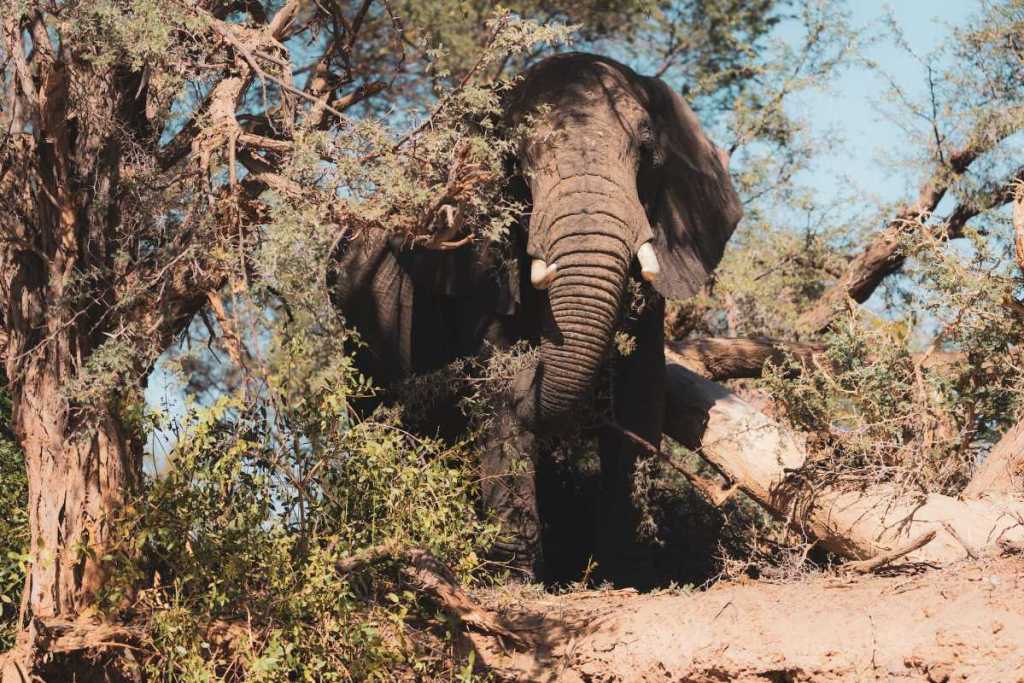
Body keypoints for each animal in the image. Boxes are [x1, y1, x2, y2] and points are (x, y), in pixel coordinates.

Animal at [327, 53, 741, 586]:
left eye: (647, 149)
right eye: (515, 165)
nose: (534, 360)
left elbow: (640, 395)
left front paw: (628, 578)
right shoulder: (477, 271)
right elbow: (495, 391)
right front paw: (513, 579)